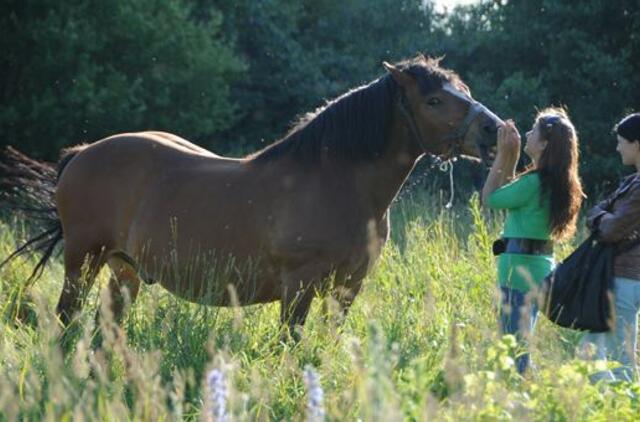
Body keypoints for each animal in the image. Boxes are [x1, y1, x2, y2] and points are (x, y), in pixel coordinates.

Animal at [1, 54, 500, 334]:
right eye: (434, 100)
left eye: (463, 90)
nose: (494, 131)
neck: (336, 183)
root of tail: (82, 154)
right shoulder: (299, 288)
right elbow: (290, 345)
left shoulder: (347, 289)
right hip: (81, 260)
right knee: (67, 318)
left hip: (123, 269)